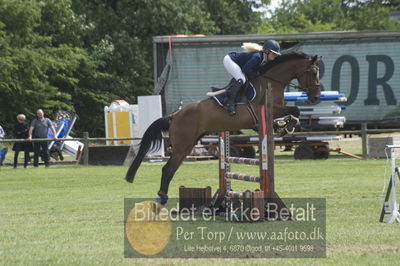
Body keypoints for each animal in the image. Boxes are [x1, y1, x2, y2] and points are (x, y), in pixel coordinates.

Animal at [125, 52, 322, 206]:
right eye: (313, 72)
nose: (315, 98)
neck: (271, 80)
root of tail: (175, 115)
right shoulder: (269, 109)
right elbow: (294, 109)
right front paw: (288, 125)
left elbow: (289, 113)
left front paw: (282, 126)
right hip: (182, 146)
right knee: (167, 169)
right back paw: (162, 197)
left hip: (188, 146)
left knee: (171, 169)